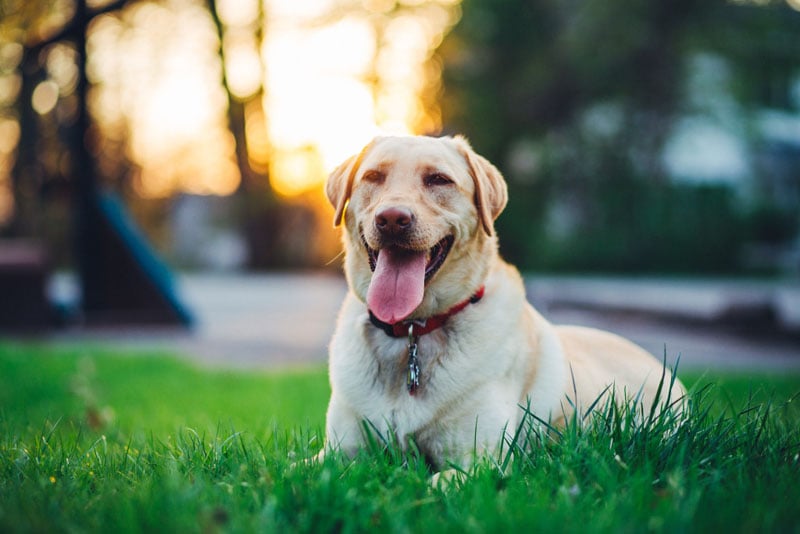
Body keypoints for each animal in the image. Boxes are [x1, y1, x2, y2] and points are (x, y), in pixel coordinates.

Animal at [320, 135, 688, 478]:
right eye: (373, 176)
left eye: (439, 180)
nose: (392, 219)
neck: (412, 332)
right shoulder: (337, 452)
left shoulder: (481, 462)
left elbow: (435, 483)